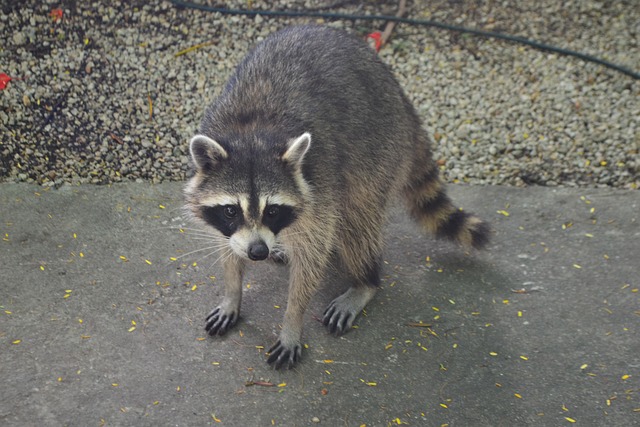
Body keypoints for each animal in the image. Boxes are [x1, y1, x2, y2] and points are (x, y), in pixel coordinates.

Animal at [185, 25, 490, 370]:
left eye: (273, 210)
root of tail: (402, 100)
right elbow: (229, 248)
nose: (258, 251)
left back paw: (366, 281)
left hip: (377, 149)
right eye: (231, 211)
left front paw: (292, 321)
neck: (252, 133)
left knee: (358, 222)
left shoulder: (320, 183)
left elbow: (311, 258)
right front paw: (232, 293)